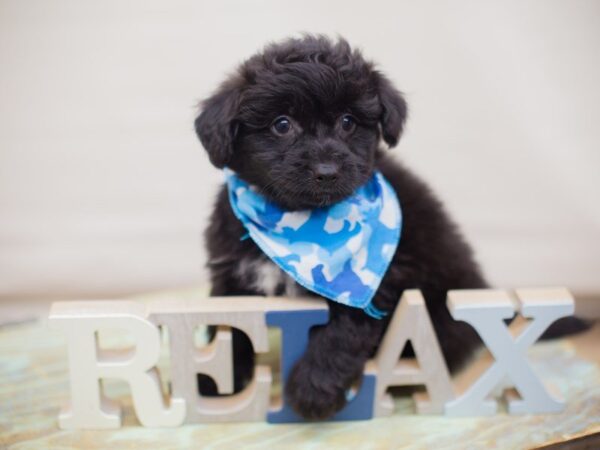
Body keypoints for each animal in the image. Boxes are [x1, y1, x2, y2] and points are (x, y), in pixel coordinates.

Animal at [196, 36, 580, 422]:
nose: (326, 170)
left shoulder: (376, 279)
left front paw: (313, 387)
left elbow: (342, 330)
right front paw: (216, 383)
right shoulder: (232, 276)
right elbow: (230, 332)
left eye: (348, 122)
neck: (299, 220)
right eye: (281, 124)